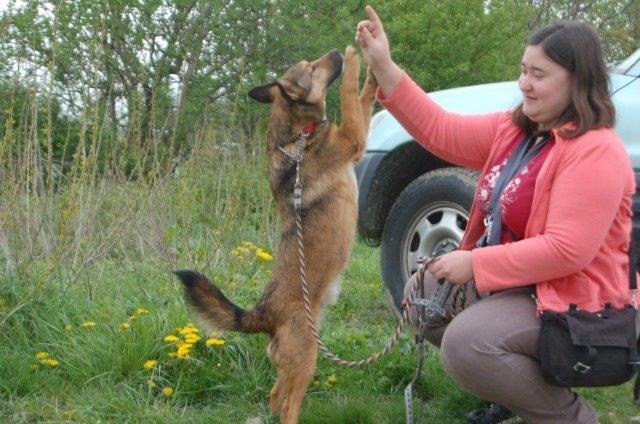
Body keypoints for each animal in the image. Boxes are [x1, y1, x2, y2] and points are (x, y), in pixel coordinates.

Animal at [174, 45, 377, 424]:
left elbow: (363, 97)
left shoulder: (357, 134)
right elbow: (349, 95)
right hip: (307, 358)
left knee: (274, 395)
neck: (298, 136)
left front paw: (374, 71)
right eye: (311, 68)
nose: (336, 50)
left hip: (294, 363)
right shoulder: (354, 138)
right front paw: (358, 57)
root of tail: (263, 314)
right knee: (287, 407)